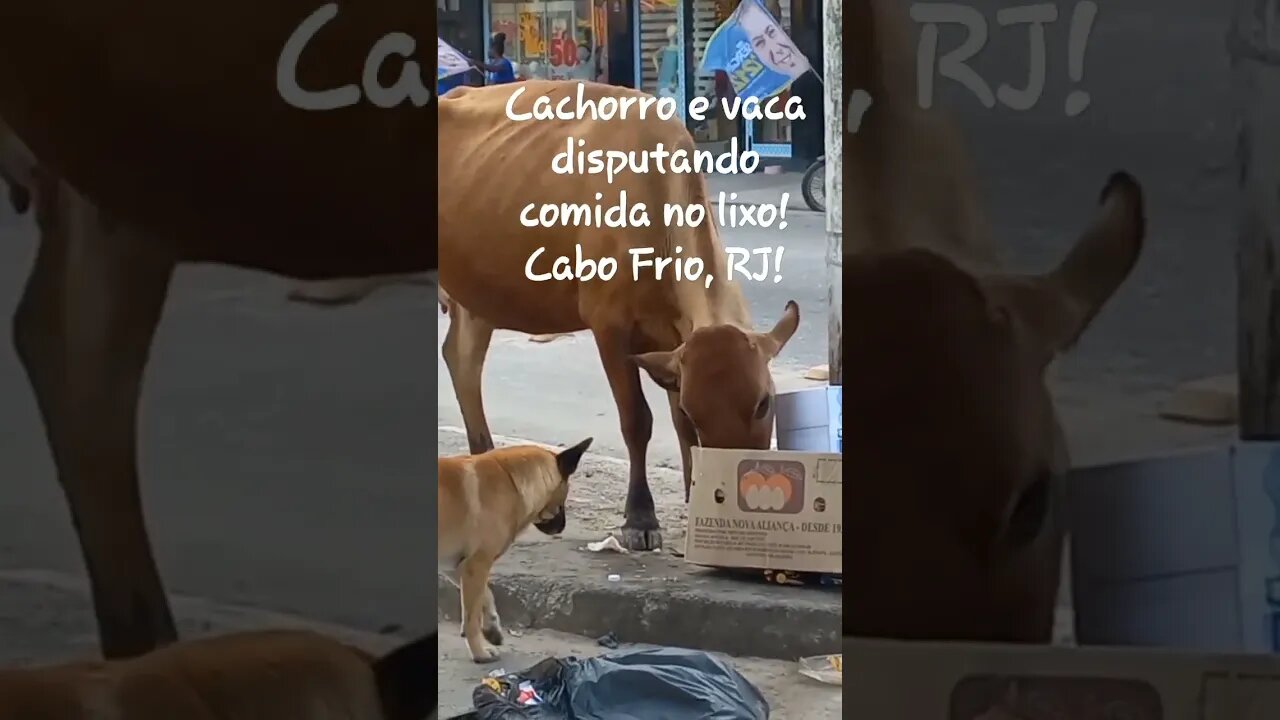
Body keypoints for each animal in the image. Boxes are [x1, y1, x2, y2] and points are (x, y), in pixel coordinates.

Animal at [437, 435, 591, 661]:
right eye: (564, 497)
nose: (561, 527)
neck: (511, 480)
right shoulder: (476, 565)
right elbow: (473, 616)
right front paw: (480, 651)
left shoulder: (458, 566)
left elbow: (487, 595)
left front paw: (492, 628)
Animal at [440, 79, 798, 548]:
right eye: (699, 412)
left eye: (763, 403)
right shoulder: (608, 324)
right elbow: (637, 421)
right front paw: (640, 518)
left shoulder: (673, 341)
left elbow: (676, 426)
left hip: (475, 294)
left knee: (461, 359)